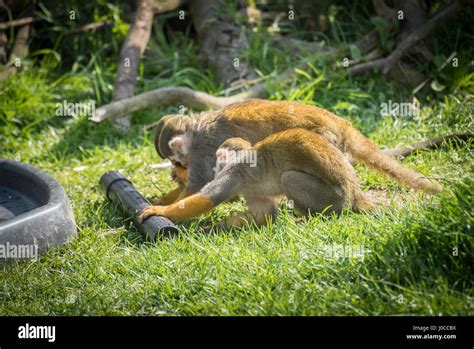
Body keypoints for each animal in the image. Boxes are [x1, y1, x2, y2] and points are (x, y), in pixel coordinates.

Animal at [139, 128, 376, 226]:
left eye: (218, 159)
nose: (215, 169)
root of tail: (354, 190)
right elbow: (264, 213)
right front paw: (220, 227)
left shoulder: (234, 172)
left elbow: (209, 198)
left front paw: (160, 211)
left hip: (334, 198)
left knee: (288, 178)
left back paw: (313, 217)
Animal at [155, 99, 444, 203]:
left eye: (176, 159)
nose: (177, 168)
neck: (196, 127)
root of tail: (340, 124)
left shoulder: (203, 147)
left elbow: (198, 187)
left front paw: (159, 205)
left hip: (324, 142)